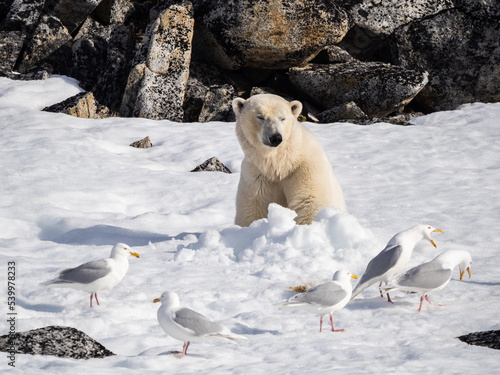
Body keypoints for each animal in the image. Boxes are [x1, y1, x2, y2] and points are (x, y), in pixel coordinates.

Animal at [232, 94, 346, 228]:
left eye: (282, 118)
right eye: (260, 116)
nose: (275, 137)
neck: (281, 163)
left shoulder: (304, 167)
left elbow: (309, 200)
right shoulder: (257, 174)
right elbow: (253, 207)